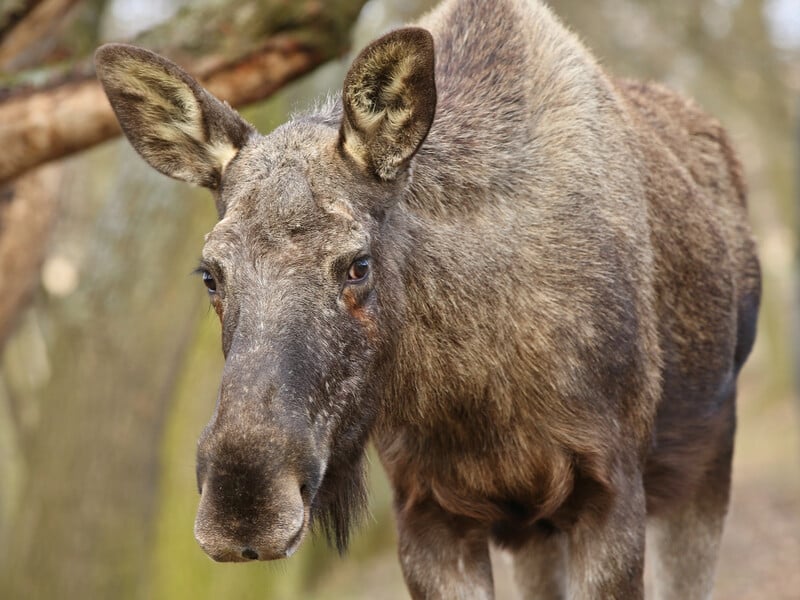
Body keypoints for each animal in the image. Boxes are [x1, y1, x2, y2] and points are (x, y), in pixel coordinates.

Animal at [95, 0, 764, 596]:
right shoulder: (427, 508)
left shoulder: (611, 488)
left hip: (707, 460)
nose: (244, 507)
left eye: (358, 264)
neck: (473, 391)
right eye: (210, 273)